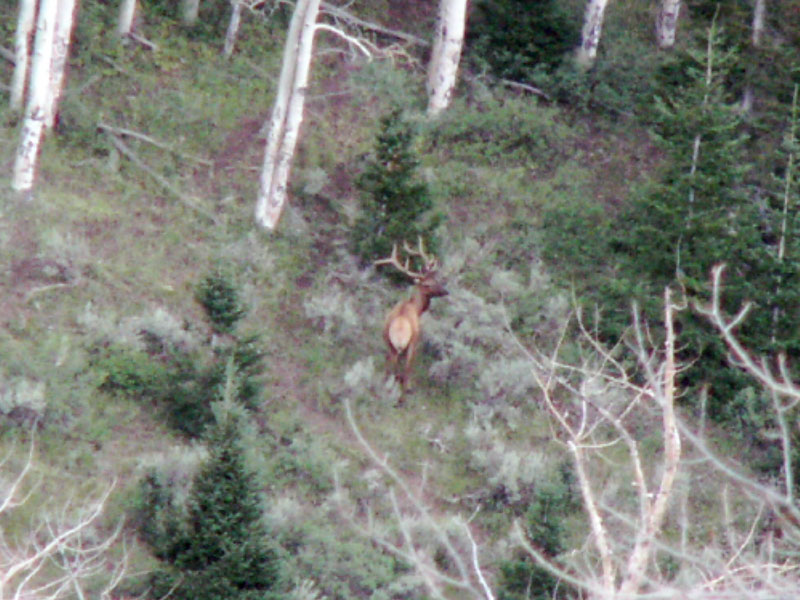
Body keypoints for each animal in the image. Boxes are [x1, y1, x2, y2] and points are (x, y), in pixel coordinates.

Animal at [376, 239, 450, 404]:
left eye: (436, 279)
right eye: (430, 283)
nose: (445, 291)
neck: (415, 308)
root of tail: (399, 330)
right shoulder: (416, 342)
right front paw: (409, 389)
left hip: (390, 343)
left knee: (390, 367)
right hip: (408, 345)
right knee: (403, 370)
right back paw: (401, 398)